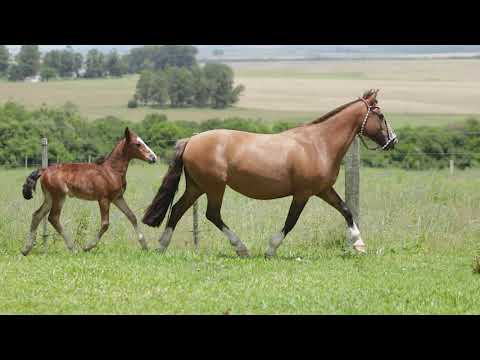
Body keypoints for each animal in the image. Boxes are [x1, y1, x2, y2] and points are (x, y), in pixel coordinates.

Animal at [21, 128, 157, 255]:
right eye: (137, 144)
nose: (153, 158)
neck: (111, 171)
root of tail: (44, 170)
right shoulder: (103, 199)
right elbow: (105, 224)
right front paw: (88, 247)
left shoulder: (117, 198)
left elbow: (131, 216)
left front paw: (144, 245)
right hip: (59, 196)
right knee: (53, 218)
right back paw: (73, 248)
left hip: (49, 197)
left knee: (37, 215)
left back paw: (26, 249)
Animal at [142, 90, 398, 258]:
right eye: (381, 115)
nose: (393, 141)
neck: (318, 144)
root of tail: (191, 140)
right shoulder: (303, 193)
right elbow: (291, 221)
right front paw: (270, 249)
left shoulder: (323, 190)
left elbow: (346, 210)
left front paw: (359, 244)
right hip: (214, 187)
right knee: (212, 214)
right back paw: (242, 249)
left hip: (197, 186)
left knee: (177, 210)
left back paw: (162, 246)